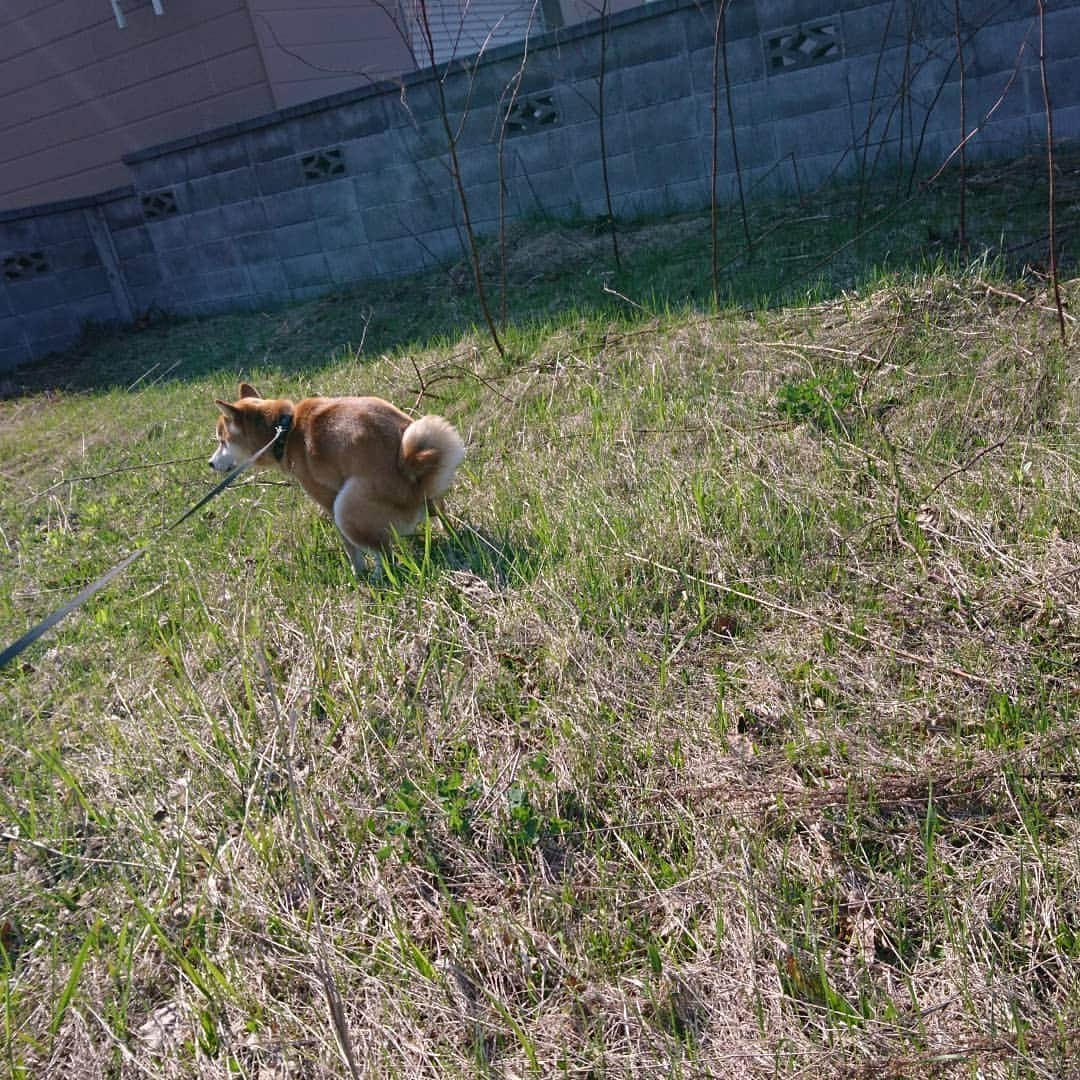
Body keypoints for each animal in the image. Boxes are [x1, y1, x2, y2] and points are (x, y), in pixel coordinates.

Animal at [210, 386, 464, 578]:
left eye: (222, 441)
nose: (210, 464)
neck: (287, 430)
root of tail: (413, 476)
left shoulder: (328, 501)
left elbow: (350, 549)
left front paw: (357, 572)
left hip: (345, 507)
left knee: (384, 554)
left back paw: (378, 578)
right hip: (433, 500)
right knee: (441, 519)